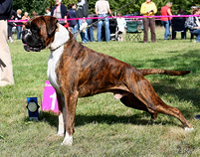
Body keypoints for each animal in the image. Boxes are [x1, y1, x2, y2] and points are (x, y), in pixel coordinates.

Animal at [22, 15, 194, 146]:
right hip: (133, 100)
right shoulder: (60, 95)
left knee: (173, 109)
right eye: (27, 26)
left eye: (34, 28)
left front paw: (68, 141)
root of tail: (137, 71)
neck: (58, 48)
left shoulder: (71, 95)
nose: (24, 31)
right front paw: (60, 134)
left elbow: (69, 119)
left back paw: (188, 127)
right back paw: (153, 120)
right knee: (153, 110)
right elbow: (61, 117)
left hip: (147, 97)